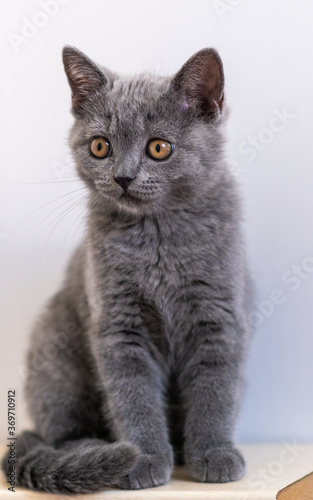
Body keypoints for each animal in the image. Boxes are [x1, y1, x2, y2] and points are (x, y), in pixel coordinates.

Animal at [1, 46, 251, 492]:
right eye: (100, 147)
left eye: (159, 148)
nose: (123, 177)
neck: (159, 237)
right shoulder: (119, 325)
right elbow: (132, 398)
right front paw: (144, 458)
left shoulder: (219, 318)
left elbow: (216, 392)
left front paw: (214, 454)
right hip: (55, 351)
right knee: (61, 434)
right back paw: (94, 453)